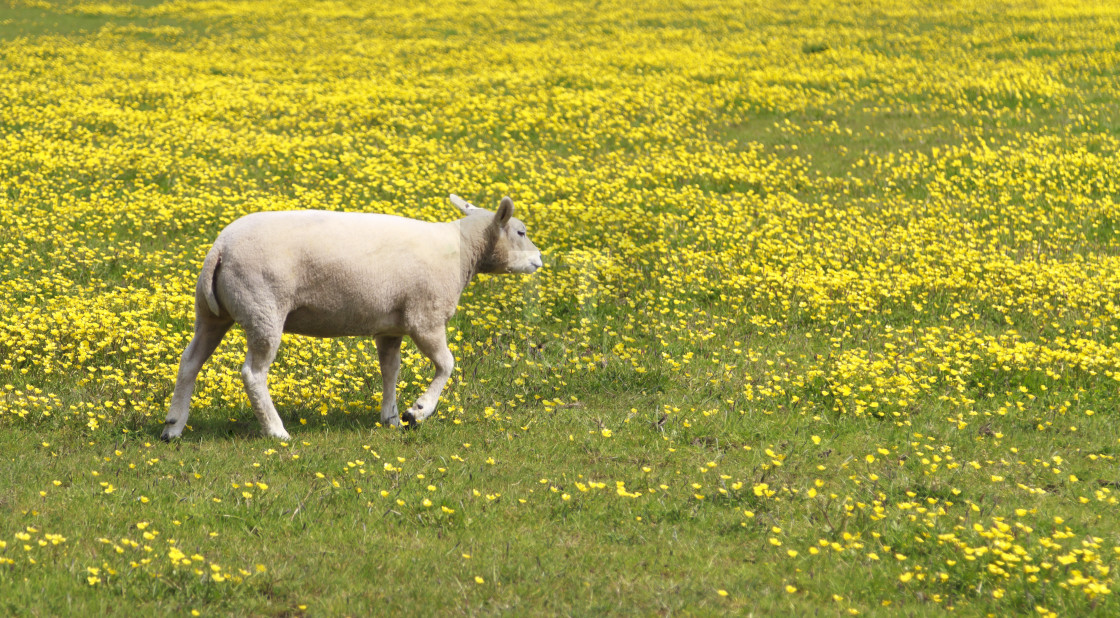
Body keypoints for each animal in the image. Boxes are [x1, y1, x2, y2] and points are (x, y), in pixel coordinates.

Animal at [161, 192, 542, 438]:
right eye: (521, 232)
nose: (540, 260)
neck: (463, 251)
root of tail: (220, 247)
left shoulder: (391, 327)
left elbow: (390, 370)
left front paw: (390, 418)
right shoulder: (425, 318)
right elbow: (447, 365)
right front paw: (417, 411)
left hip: (213, 312)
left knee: (190, 361)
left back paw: (173, 426)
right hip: (263, 307)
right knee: (253, 373)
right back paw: (276, 431)